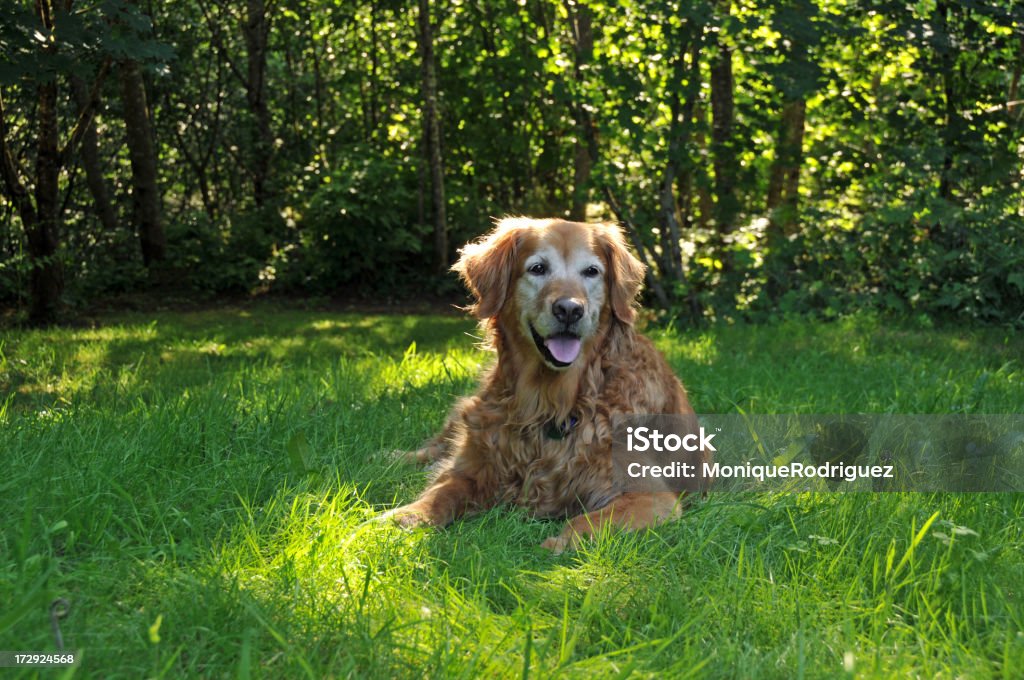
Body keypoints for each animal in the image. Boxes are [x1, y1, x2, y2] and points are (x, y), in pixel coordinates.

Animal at [385, 218, 704, 553]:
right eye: (538, 268)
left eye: (591, 271)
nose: (569, 310)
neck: (552, 401)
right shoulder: (475, 469)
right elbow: (441, 493)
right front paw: (401, 517)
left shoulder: (651, 496)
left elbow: (589, 521)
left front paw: (560, 542)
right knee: (437, 447)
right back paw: (393, 457)